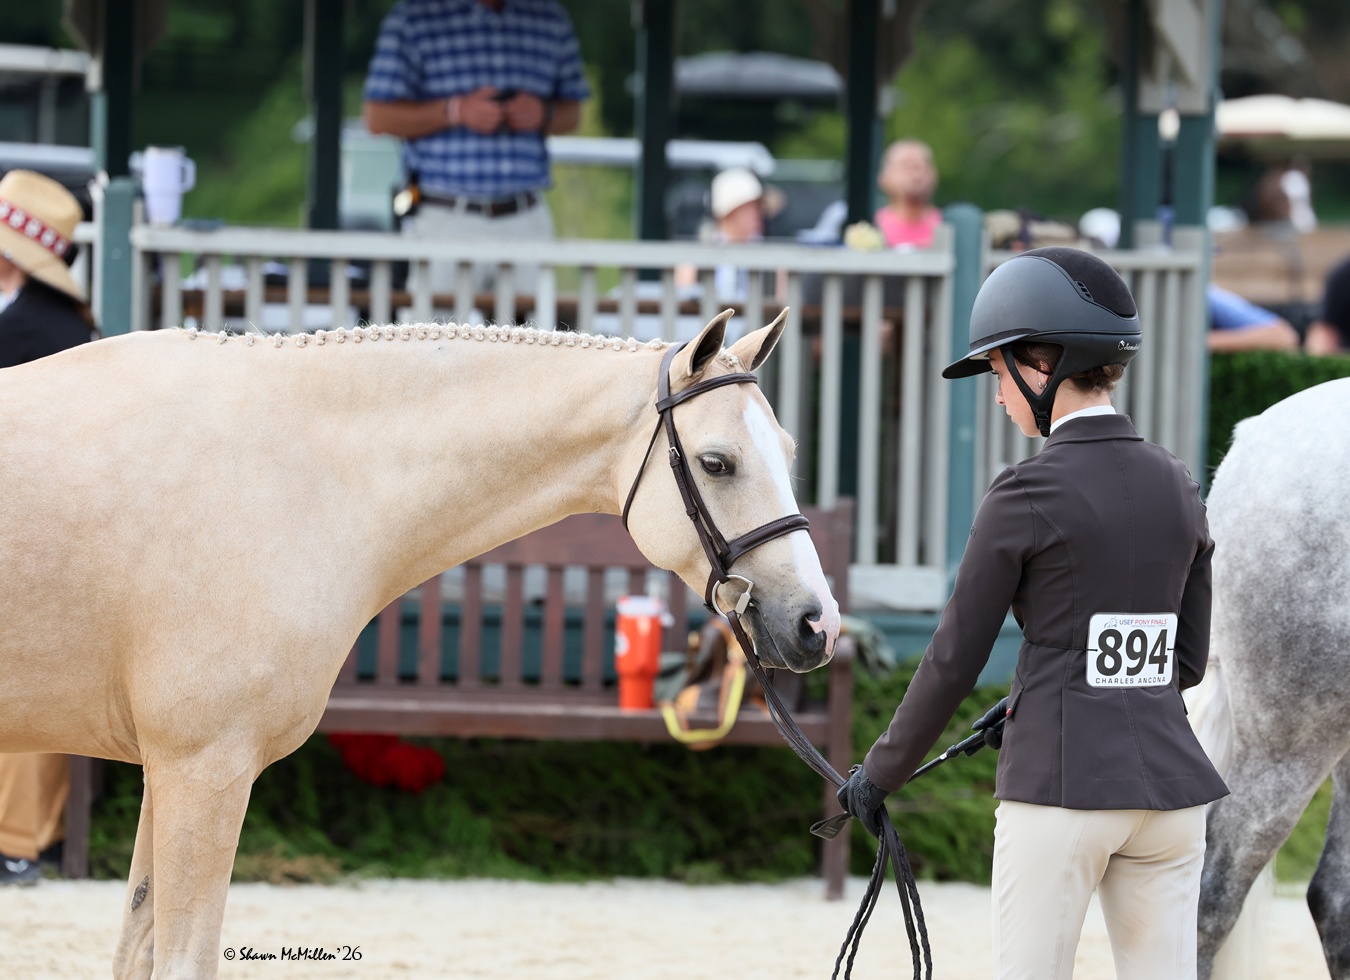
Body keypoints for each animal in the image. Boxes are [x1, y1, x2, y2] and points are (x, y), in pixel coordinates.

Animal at [0, 309, 841, 978]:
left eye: (788, 450)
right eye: (717, 462)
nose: (816, 623)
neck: (284, 474)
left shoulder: (171, 771)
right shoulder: (204, 768)